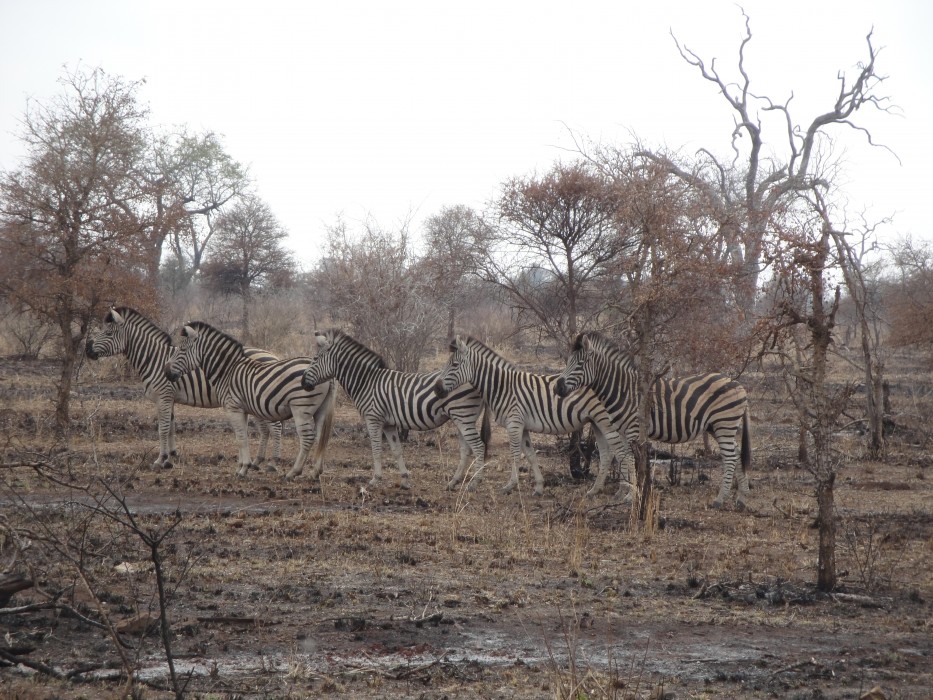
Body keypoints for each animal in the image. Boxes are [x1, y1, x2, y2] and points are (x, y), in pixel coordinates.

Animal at [85, 306, 283, 469]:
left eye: (108, 333)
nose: (87, 351)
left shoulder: (163, 397)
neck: (153, 358)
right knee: (265, 429)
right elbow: (171, 427)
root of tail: (273, 355)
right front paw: (170, 457)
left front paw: (160, 460)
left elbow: (162, 429)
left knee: (275, 428)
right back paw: (258, 461)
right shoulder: (169, 398)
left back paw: (273, 463)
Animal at [163, 320, 335, 479]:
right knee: (321, 438)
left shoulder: (233, 407)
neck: (227, 370)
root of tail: (329, 375)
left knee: (307, 438)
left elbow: (241, 438)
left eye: (182, 350)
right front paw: (241, 466)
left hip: (301, 408)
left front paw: (244, 469)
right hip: (320, 409)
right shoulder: (242, 409)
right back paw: (315, 472)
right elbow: (243, 435)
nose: (166, 372)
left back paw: (293, 472)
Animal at [300, 329, 491, 490]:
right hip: (462, 418)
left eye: (315, 359)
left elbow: (376, 449)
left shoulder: (373, 418)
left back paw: (475, 483)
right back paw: (453, 482)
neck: (367, 382)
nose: (302, 382)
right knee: (466, 450)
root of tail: (476, 378)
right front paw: (405, 480)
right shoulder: (389, 424)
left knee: (478, 446)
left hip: (463, 415)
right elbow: (396, 450)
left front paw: (375, 479)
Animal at [432, 335, 633, 497]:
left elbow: (515, 454)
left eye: (454, 365)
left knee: (623, 453)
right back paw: (596, 490)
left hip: (608, 422)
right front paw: (539, 487)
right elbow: (530, 455)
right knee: (607, 454)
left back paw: (624, 491)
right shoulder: (524, 426)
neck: (502, 387)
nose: (437, 389)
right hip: (597, 422)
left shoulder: (514, 423)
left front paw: (510, 485)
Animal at [555, 331, 751, 509]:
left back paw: (720, 500)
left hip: (724, 423)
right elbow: (624, 457)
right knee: (736, 453)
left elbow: (632, 460)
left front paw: (631, 495)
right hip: (717, 427)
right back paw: (741, 498)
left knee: (730, 458)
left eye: (580, 364)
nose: (558, 387)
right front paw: (627, 492)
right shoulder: (622, 431)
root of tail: (738, 384)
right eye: (568, 361)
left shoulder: (634, 430)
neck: (624, 390)